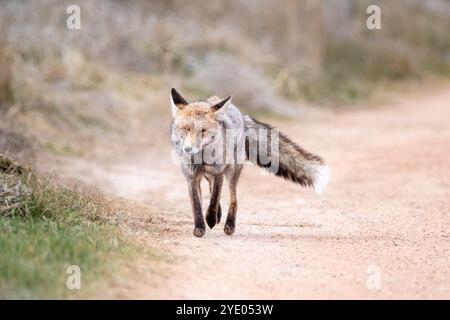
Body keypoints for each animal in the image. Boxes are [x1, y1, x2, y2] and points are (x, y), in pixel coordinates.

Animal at [171, 88, 328, 238]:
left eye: (203, 131)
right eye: (185, 129)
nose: (187, 149)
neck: (204, 157)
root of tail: (241, 115)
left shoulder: (219, 172)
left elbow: (215, 198)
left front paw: (210, 218)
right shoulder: (192, 176)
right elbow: (197, 204)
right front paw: (199, 228)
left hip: (232, 171)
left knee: (233, 200)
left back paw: (229, 224)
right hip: (210, 174)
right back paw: (219, 215)